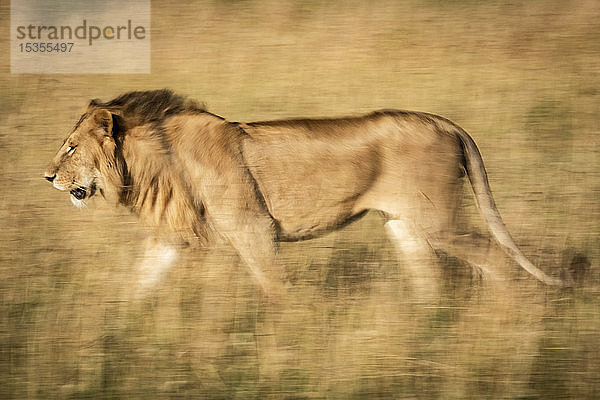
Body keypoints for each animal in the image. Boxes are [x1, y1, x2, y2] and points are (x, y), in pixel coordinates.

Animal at [44, 90, 564, 296]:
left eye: (70, 147)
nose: (46, 177)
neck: (152, 165)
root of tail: (445, 121)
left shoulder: (252, 228)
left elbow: (276, 289)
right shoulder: (169, 237)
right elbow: (139, 284)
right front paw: (117, 328)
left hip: (439, 221)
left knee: (496, 258)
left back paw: (508, 317)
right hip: (405, 226)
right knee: (429, 281)